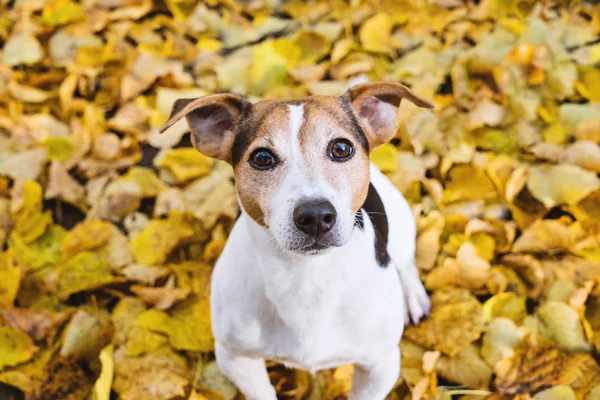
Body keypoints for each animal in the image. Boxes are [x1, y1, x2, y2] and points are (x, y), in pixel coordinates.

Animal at [162, 82, 434, 400]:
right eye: (261, 157)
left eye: (341, 148)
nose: (315, 215)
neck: (306, 277)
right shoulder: (235, 358)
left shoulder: (380, 366)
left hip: (401, 224)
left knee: (404, 262)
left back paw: (412, 296)